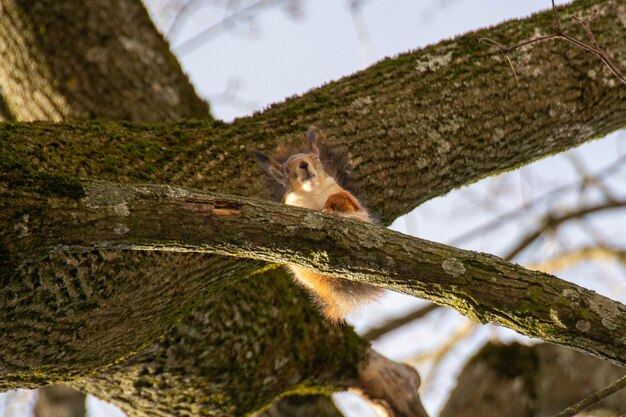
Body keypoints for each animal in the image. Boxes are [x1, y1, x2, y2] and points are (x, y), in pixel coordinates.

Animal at [251, 127, 382, 322]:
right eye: (286, 170)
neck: (312, 190)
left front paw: (330, 204)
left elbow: (343, 198)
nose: (303, 164)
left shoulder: (353, 202)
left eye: (316, 158)